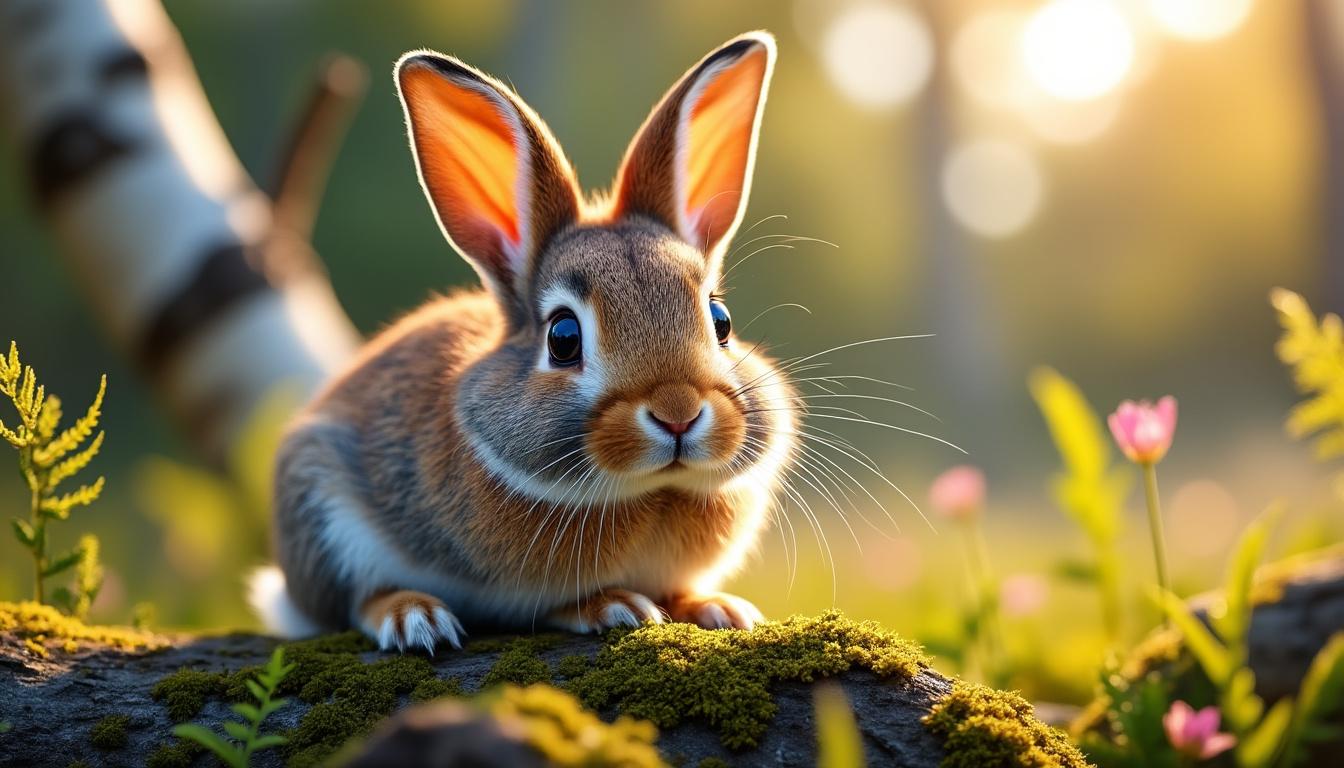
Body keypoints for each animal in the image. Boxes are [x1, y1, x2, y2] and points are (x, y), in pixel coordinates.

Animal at [249, 31, 799, 653]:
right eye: (563, 336)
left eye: (721, 319)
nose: (677, 412)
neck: (653, 490)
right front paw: (613, 605)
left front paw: (718, 609)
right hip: (318, 498)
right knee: (353, 602)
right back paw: (415, 618)